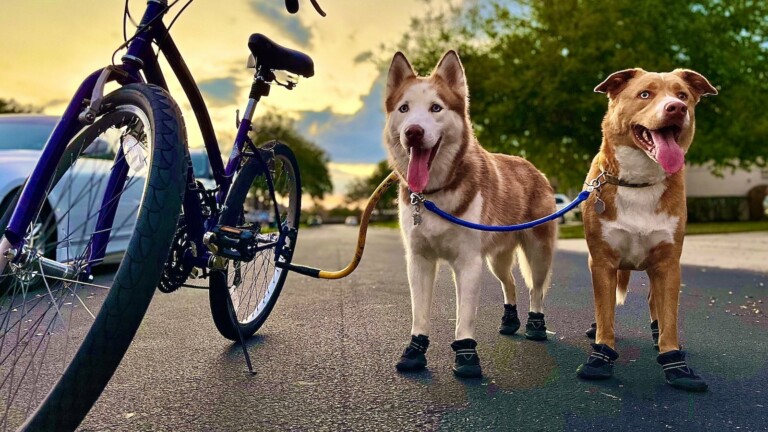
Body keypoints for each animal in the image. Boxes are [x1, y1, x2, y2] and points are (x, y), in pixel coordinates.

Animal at [384, 49, 560, 376]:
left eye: (436, 108)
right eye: (404, 108)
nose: (413, 132)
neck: (433, 194)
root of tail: (532, 166)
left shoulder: (468, 262)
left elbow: (464, 315)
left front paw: (466, 356)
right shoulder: (419, 260)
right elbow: (419, 313)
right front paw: (414, 352)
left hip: (538, 251)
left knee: (536, 289)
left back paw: (536, 326)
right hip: (496, 258)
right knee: (510, 282)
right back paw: (509, 321)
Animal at [576, 66, 720, 392]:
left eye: (682, 95)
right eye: (645, 94)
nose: (676, 108)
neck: (638, 182)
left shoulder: (668, 264)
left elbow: (669, 317)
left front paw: (675, 364)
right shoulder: (602, 262)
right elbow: (605, 313)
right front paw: (600, 356)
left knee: (656, 304)